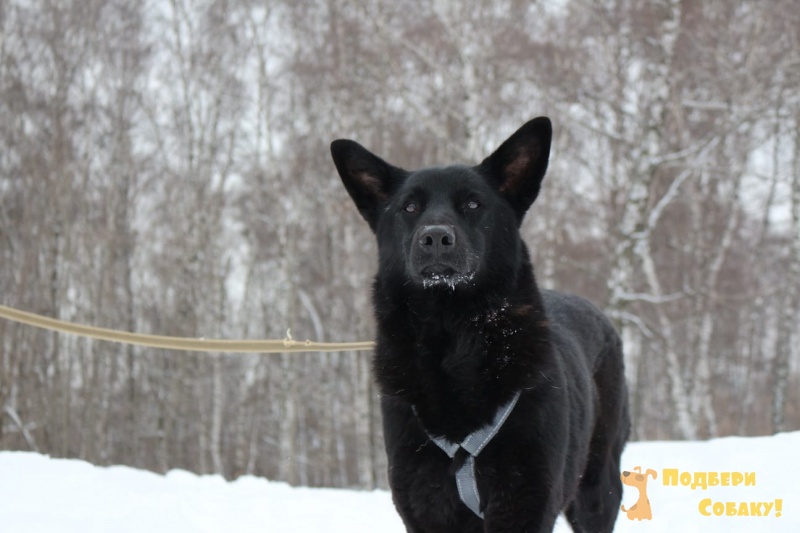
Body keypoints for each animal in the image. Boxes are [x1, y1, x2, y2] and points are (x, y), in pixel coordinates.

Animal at [332, 117, 632, 532]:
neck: (452, 336)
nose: (435, 237)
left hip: (596, 489)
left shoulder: (525, 502)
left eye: (473, 204)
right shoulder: (426, 506)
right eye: (410, 207)